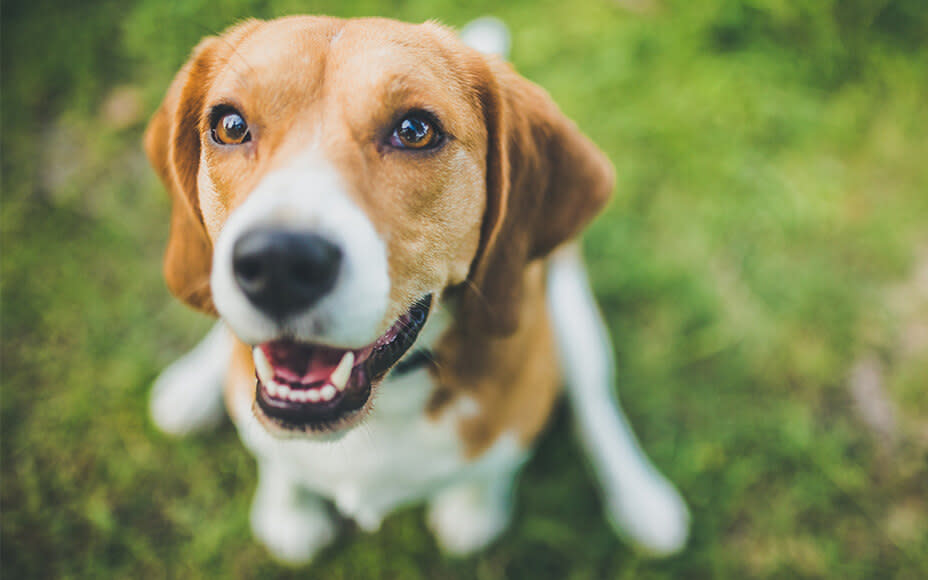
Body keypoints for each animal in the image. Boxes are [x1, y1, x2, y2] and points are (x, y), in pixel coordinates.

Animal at [147, 15, 688, 564]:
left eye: (415, 131)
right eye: (230, 125)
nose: (278, 262)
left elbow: (496, 469)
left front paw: (475, 508)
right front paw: (288, 509)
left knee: (597, 399)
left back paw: (642, 500)